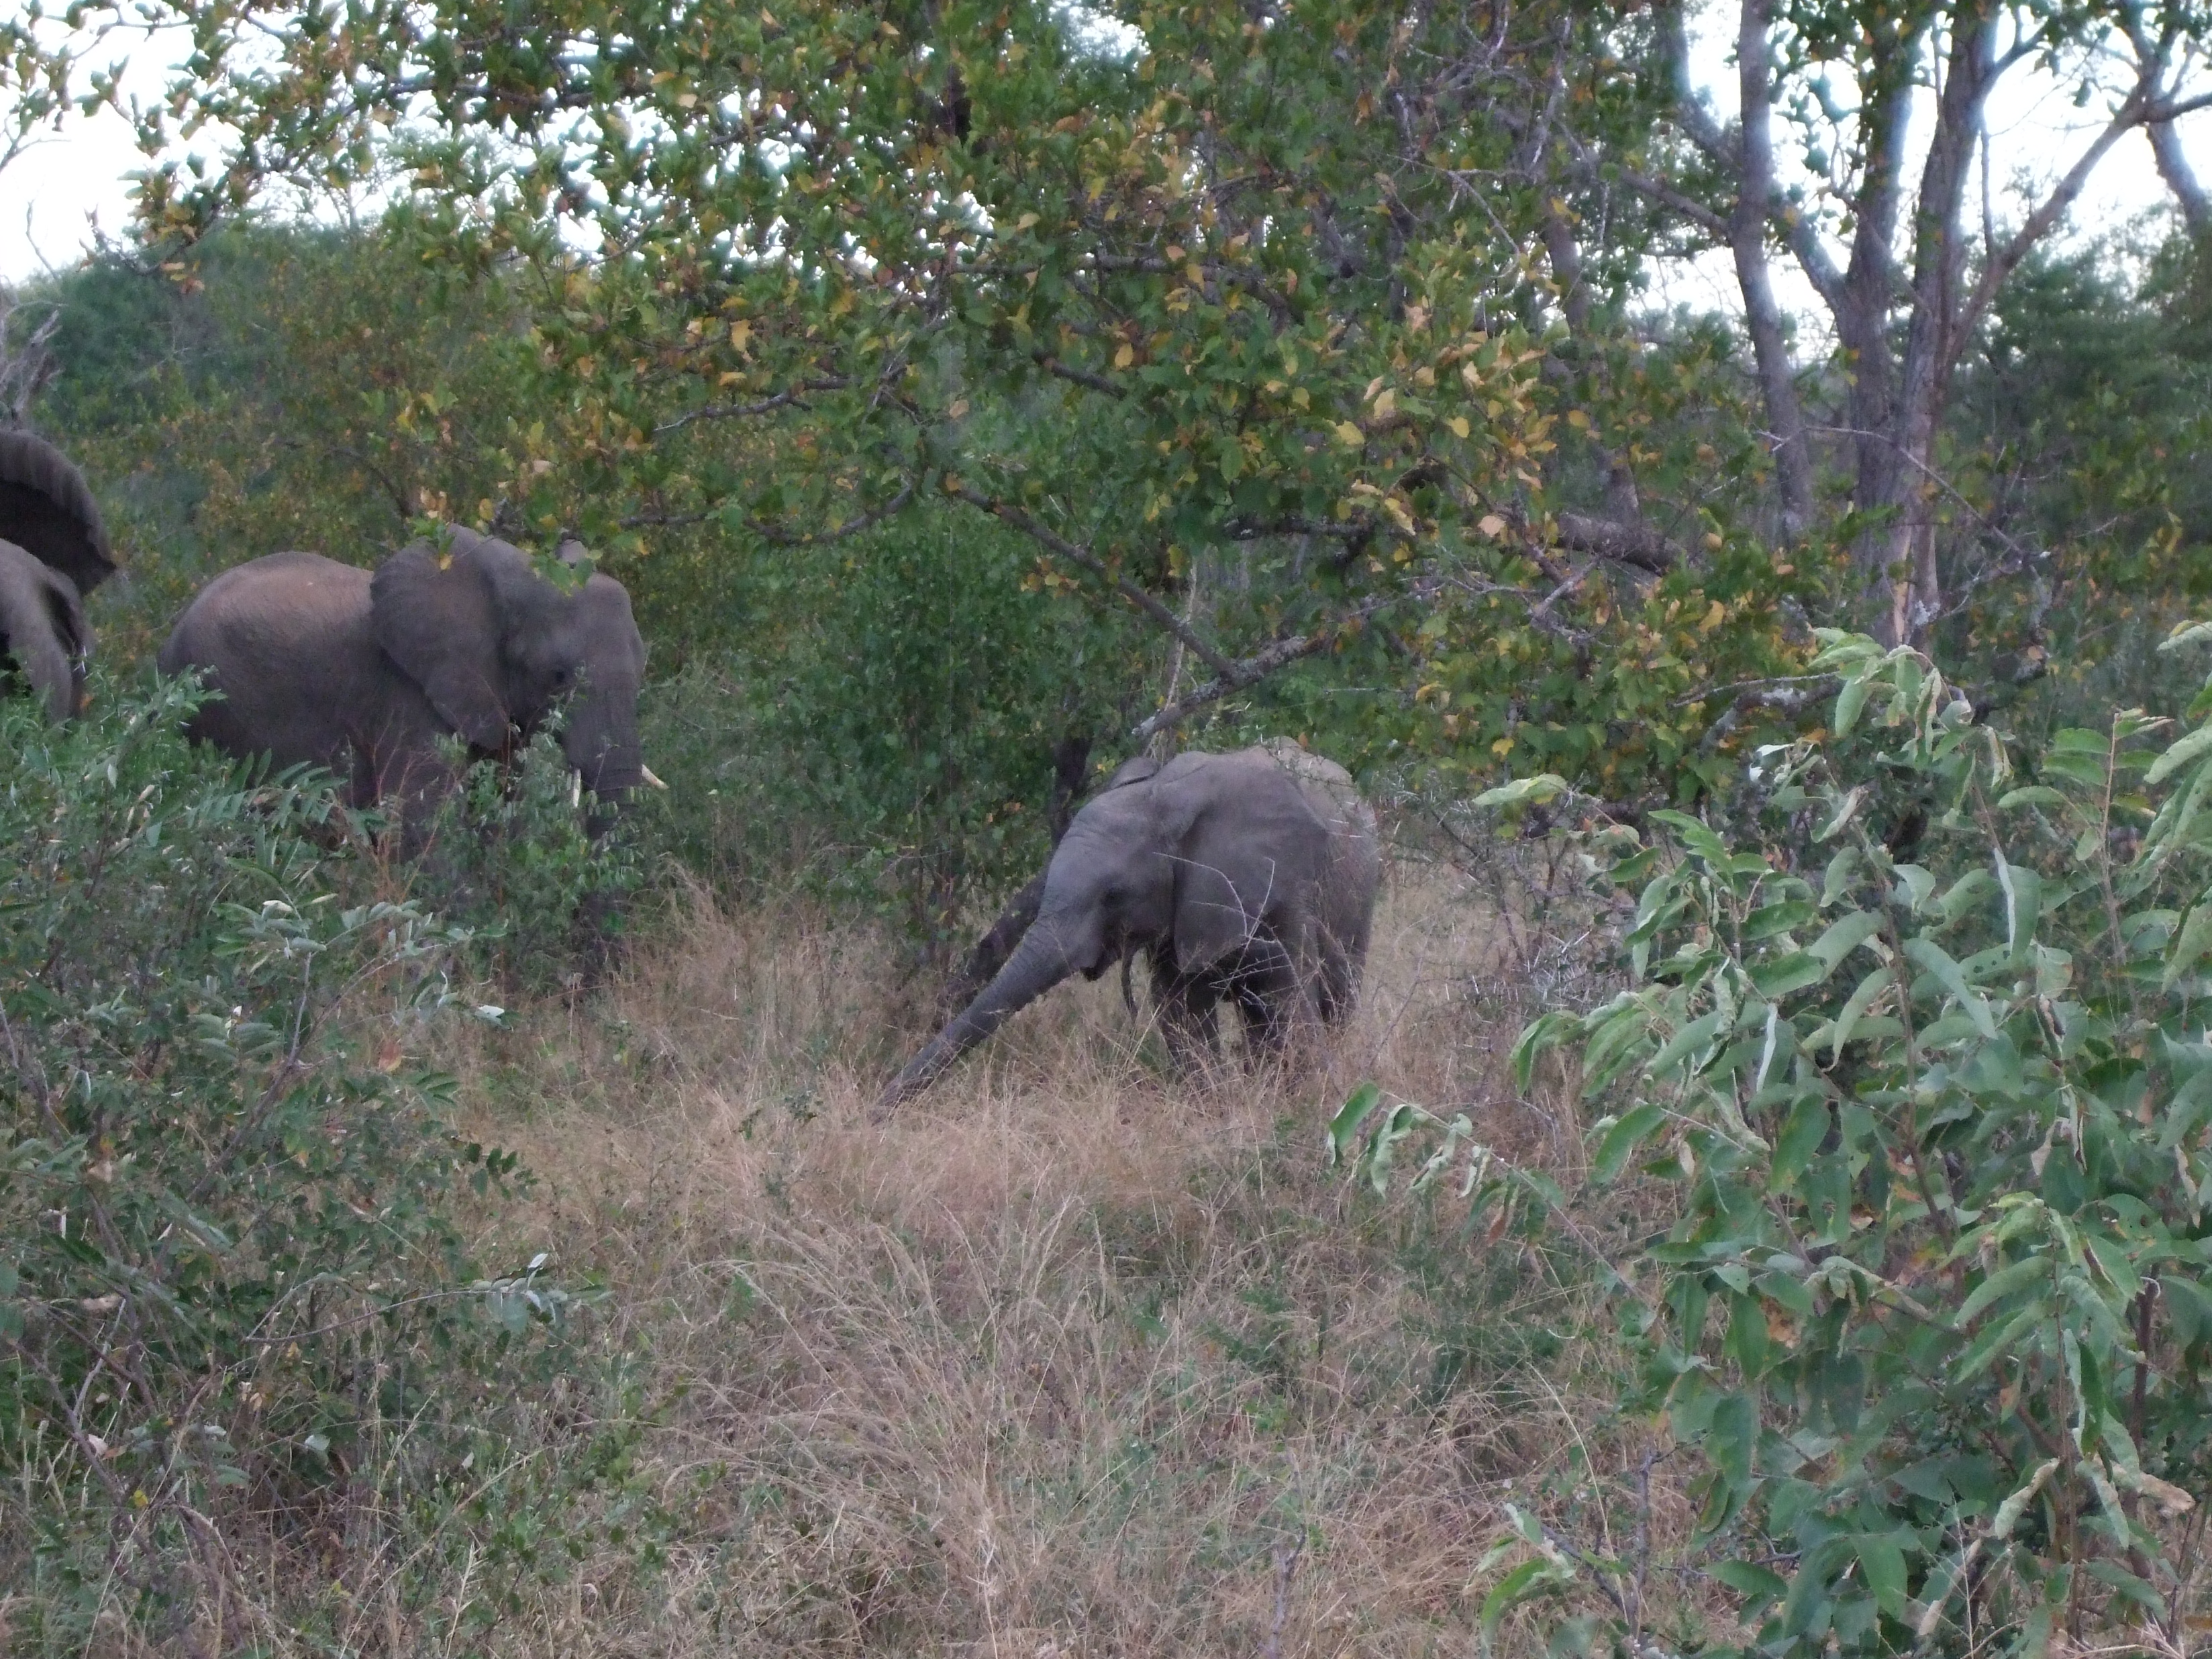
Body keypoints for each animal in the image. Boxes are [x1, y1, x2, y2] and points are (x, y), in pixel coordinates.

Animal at [880, 743, 1380, 1119]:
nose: (873, 1113)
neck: (1162, 799)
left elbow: (1286, 998)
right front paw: (1218, 1111)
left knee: (1330, 999)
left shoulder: (1285, 887)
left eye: (1114, 895)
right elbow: (1181, 1012)